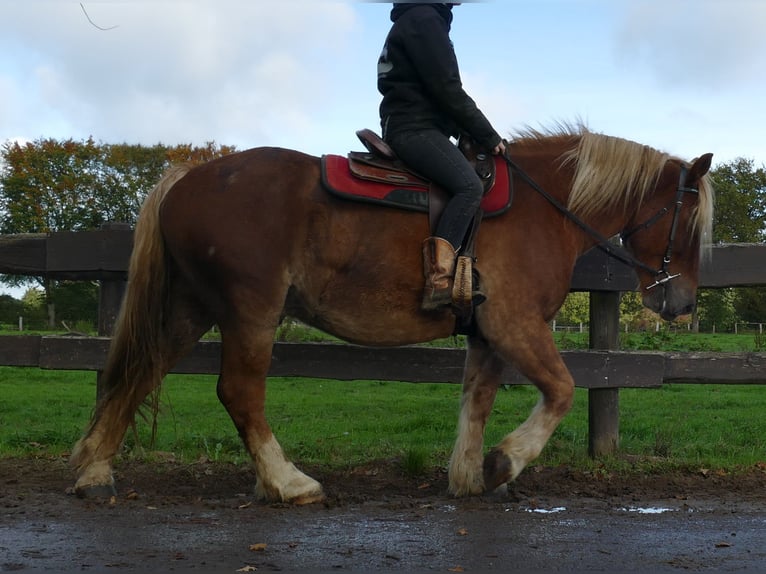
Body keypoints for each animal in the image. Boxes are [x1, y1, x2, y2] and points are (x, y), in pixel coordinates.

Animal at [70, 125, 714, 503]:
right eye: (687, 220)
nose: (681, 303)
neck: (541, 207)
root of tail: (188, 179)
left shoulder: (487, 334)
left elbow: (476, 401)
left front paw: (466, 476)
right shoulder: (516, 324)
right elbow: (562, 391)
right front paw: (505, 461)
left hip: (191, 305)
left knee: (140, 371)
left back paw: (95, 469)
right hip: (250, 309)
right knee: (239, 391)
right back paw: (287, 481)